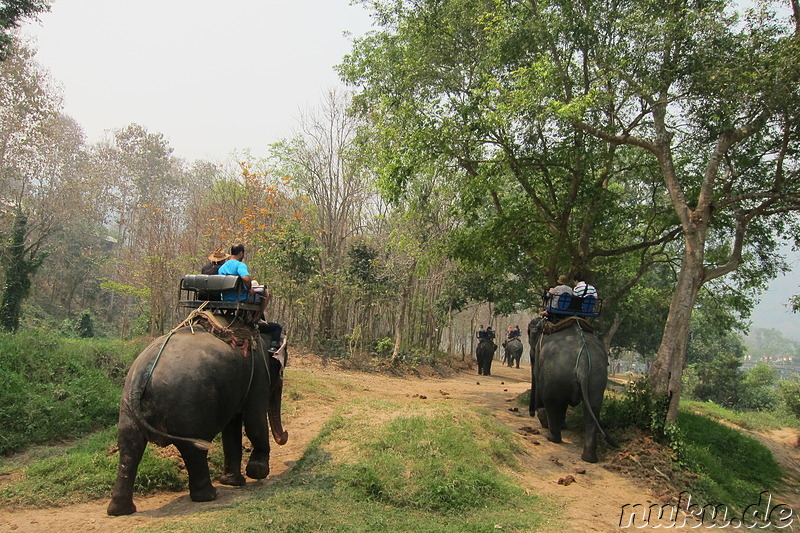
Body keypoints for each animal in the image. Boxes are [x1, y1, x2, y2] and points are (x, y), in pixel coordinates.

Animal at [106, 324, 288, 516]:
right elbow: (254, 420)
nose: (285, 434)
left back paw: (120, 510)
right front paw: (258, 472)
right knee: (193, 450)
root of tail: (143, 373)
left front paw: (234, 482)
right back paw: (209, 495)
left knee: (129, 448)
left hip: (127, 407)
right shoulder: (258, 375)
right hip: (189, 408)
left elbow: (232, 427)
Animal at [528, 316, 616, 462]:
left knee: (551, 401)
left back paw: (552, 437)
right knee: (593, 409)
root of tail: (583, 361)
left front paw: (543, 419)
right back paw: (589, 457)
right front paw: (563, 425)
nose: (531, 413)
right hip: (597, 376)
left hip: (555, 373)